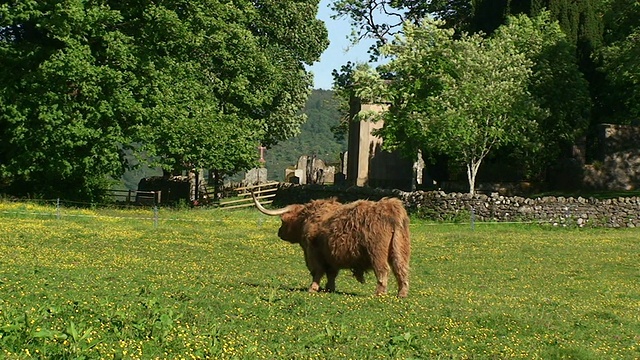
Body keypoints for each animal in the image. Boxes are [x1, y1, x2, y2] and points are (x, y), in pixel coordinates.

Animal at [252, 193, 412, 296]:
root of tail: (391, 207)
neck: (306, 219)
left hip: (377, 252)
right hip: (399, 249)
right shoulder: (331, 256)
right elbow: (331, 274)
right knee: (401, 269)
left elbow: (317, 271)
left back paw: (379, 293)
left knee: (383, 270)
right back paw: (401, 294)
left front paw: (313, 288)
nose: (279, 232)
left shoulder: (312, 252)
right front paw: (330, 288)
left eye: (282, 221)